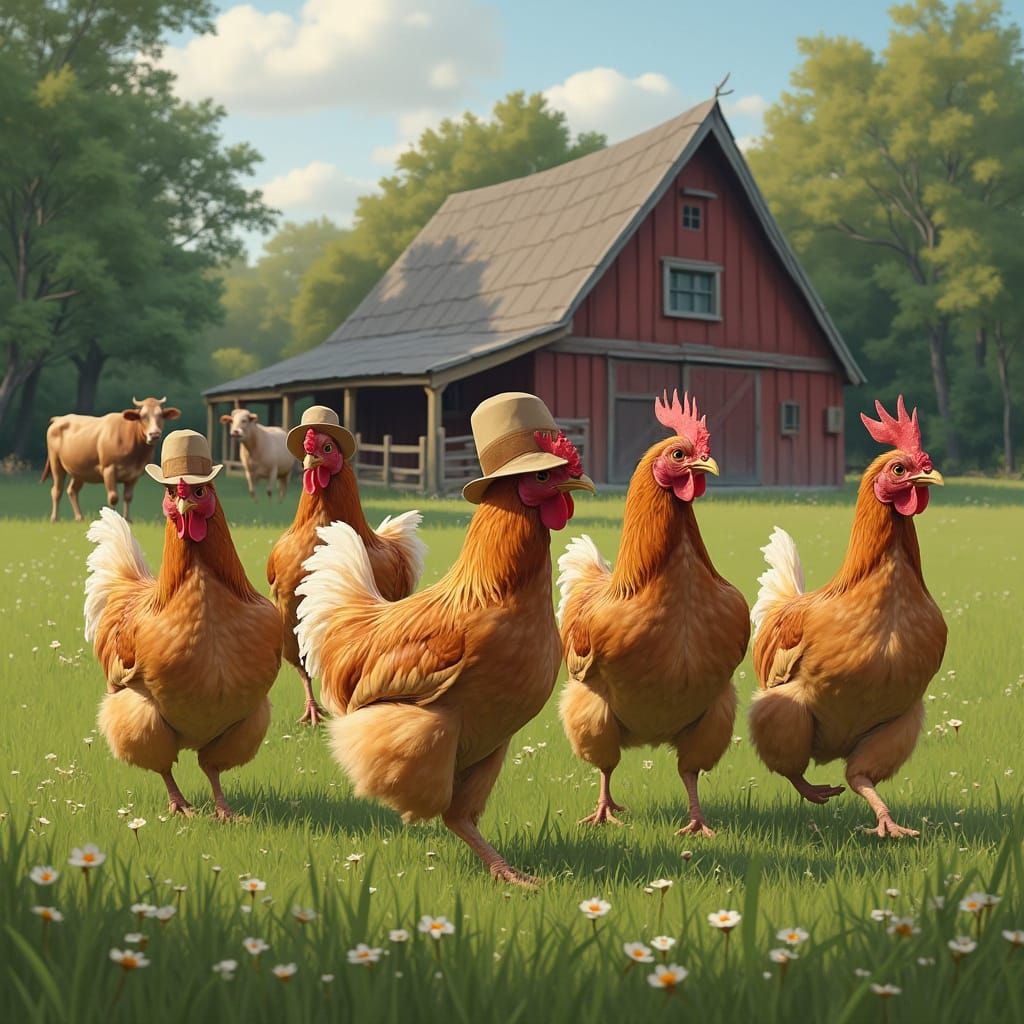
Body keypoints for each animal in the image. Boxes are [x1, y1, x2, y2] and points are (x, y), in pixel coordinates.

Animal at [42, 396, 181, 522]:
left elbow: (128, 497)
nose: (154, 434)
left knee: (72, 490)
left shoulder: (135, 473)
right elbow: (113, 497)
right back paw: (54, 518)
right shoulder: (109, 468)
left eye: (160, 415)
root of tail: (59, 419)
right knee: (57, 490)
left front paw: (127, 519)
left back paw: (79, 517)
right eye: (143, 416)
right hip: (56, 462)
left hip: (79, 469)